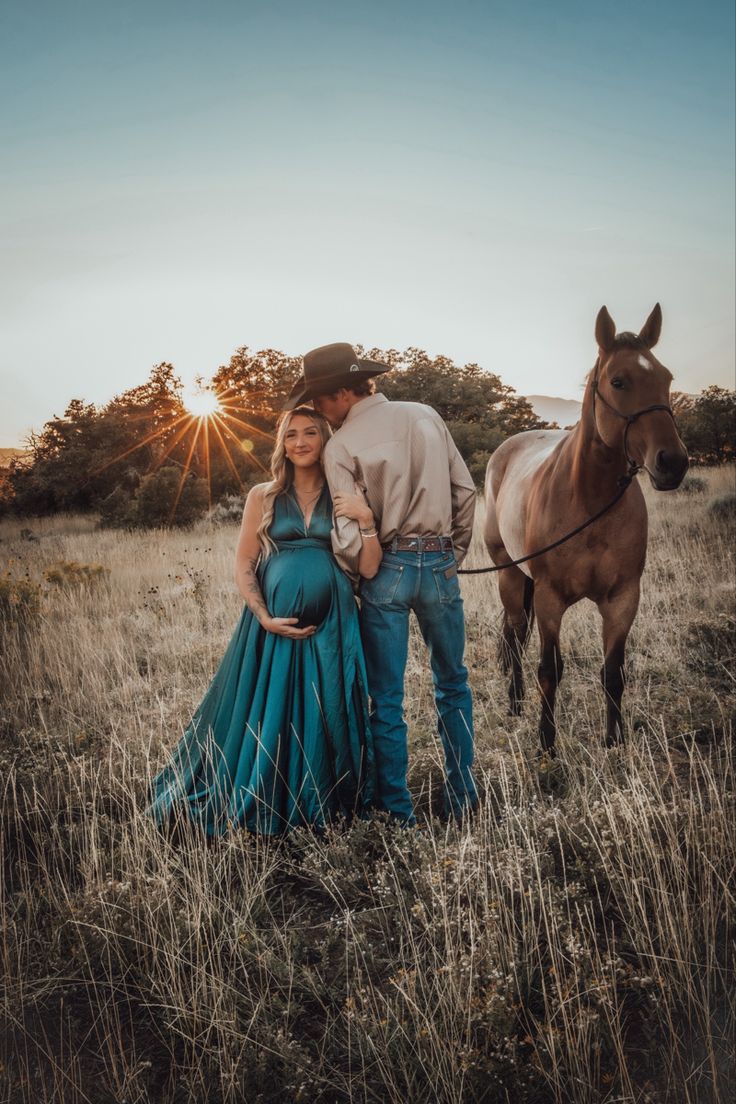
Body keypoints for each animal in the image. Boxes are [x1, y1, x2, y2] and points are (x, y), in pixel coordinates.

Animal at [485, 302, 688, 755]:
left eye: (666, 378)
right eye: (618, 381)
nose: (673, 462)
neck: (588, 500)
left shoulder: (622, 599)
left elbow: (614, 672)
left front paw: (613, 741)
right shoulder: (550, 599)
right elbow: (549, 669)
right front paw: (546, 743)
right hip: (510, 575)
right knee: (514, 636)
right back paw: (515, 704)